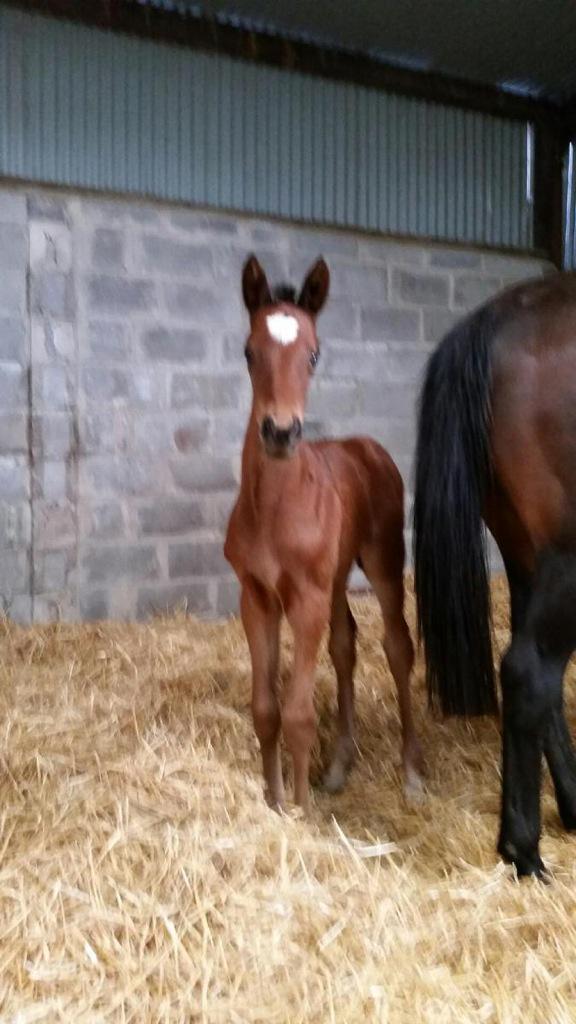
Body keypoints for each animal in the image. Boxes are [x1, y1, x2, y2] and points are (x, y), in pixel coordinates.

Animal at [224, 254, 423, 812]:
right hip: (334, 580)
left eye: (313, 355)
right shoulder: (257, 597)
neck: (274, 508)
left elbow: (298, 713)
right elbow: (266, 708)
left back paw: (412, 773)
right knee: (345, 645)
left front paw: (301, 810)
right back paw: (339, 765)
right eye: (249, 352)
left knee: (398, 646)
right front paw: (275, 799)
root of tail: (366, 447)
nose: (280, 432)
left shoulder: (306, 599)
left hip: (382, 563)